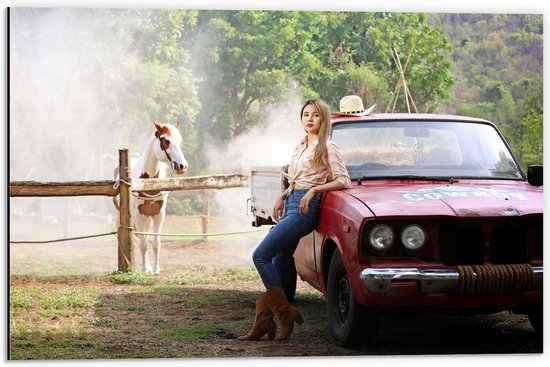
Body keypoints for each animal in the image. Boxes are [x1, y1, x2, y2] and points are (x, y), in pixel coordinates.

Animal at [115, 122, 189, 274]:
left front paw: (155, 269)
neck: (147, 183)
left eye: (179, 142)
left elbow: (155, 243)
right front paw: (144, 269)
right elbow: (143, 243)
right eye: (166, 141)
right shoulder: (138, 215)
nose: (182, 166)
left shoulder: (159, 215)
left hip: (147, 218)